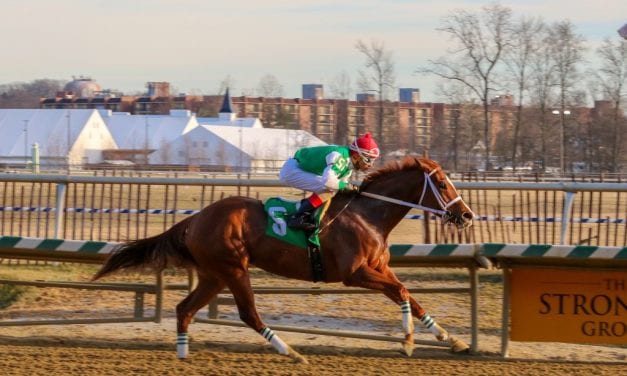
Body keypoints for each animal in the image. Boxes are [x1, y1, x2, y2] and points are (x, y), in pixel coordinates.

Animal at [92, 156, 476, 362]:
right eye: (443, 183)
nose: (467, 215)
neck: (368, 214)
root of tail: (196, 218)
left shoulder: (379, 268)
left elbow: (409, 295)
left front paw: (451, 339)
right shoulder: (356, 274)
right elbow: (401, 293)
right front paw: (408, 342)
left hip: (214, 274)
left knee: (184, 309)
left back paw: (184, 355)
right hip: (234, 269)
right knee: (248, 313)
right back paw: (289, 350)